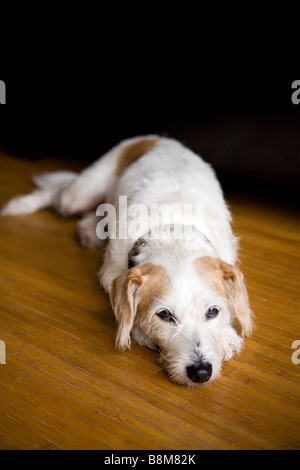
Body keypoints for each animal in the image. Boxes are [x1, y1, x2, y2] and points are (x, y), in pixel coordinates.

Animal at [1, 135, 254, 386]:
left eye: (212, 311)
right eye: (164, 315)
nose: (201, 372)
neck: (174, 229)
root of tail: (154, 138)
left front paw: (225, 336)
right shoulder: (111, 274)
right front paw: (140, 331)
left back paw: (89, 230)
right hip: (79, 195)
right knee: (56, 193)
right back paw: (20, 205)